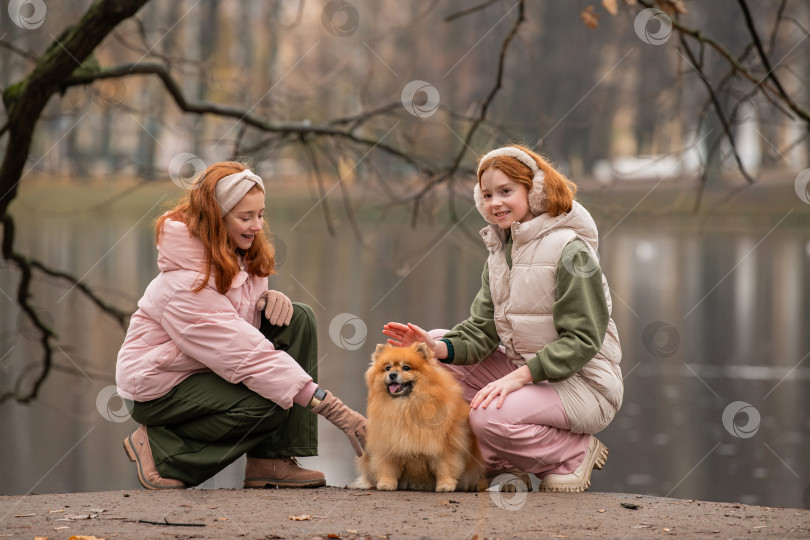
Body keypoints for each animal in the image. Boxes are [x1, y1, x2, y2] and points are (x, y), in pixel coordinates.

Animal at [350, 344, 482, 492]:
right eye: (388, 368)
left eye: (406, 368)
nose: (392, 374)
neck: (404, 406)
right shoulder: (387, 442)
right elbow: (387, 467)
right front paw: (386, 483)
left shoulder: (445, 445)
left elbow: (445, 466)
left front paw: (445, 485)